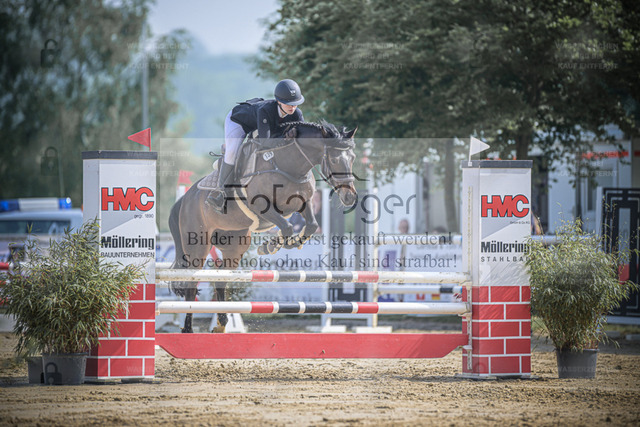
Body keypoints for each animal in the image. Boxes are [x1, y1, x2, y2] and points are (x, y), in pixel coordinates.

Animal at [167, 120, 358, 333]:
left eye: (352, 158)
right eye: (333, 159)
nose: (350, 197)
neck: (290, 166)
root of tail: (185, 198)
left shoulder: (303, 203)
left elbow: (310, 225)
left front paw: (283, 243)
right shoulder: (262, 207)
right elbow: (286, 226)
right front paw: (272, 245)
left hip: (234, 245)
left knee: (221, 279)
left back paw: (221, 324)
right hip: (198, 245)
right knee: (191, 284)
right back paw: (188, 329)